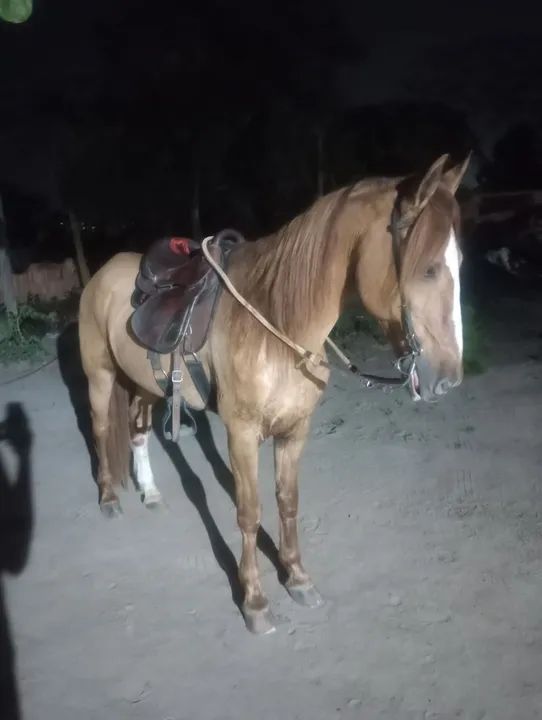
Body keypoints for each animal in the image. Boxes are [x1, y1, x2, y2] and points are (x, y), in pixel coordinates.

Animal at [78, 153, 469, 634]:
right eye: (428, 268)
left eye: (458, 262)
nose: (447, 378)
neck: (277, 324)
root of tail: (103, 272)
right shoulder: (242, 434)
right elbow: (249, 513)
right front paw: (255, 601)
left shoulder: (294, 431)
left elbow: (288, 503)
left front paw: (297, 578)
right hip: (100, 377)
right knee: (101, 429)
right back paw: (109, 499)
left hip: (146, 384)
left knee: (135, 430)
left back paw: (150, 493)